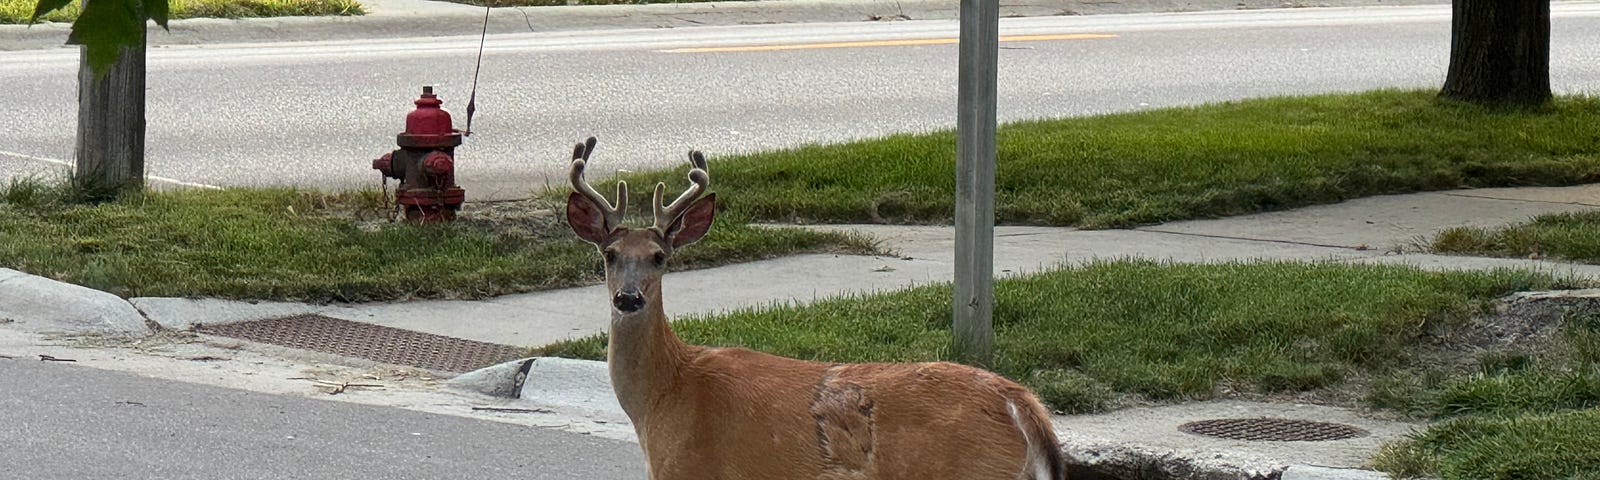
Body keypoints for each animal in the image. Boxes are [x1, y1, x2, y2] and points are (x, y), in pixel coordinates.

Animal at [563, 136, 1062, 480]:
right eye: (609, 254)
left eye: (659, 257)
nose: (629, 298)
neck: (663, 394)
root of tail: (1022, 405)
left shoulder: (689, 467)